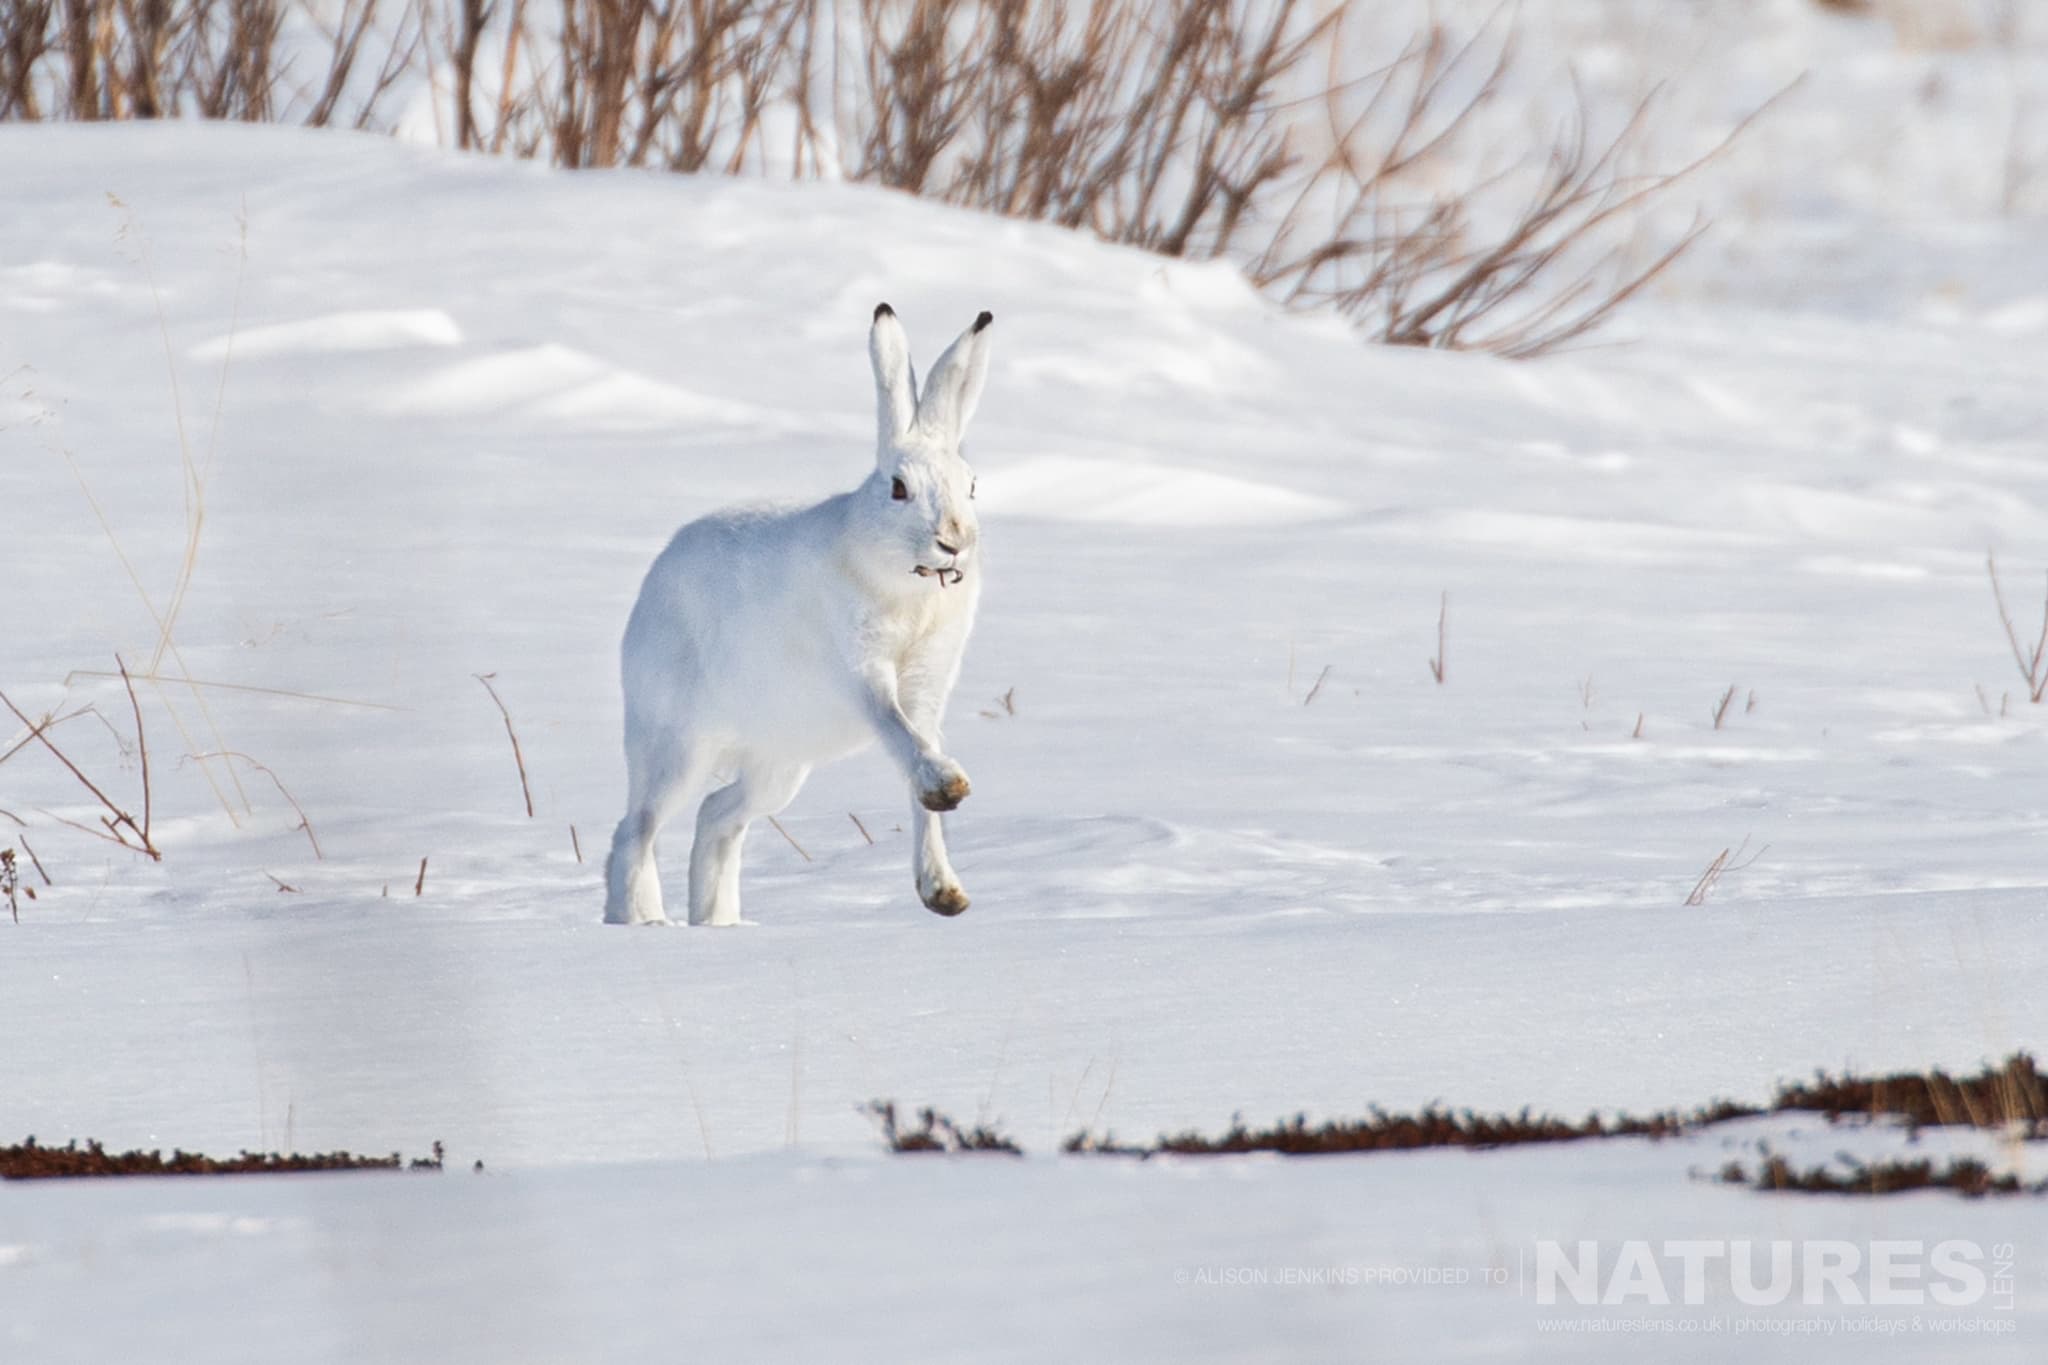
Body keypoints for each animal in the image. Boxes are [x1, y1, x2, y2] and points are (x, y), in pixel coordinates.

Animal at [604, 303, 992, 926]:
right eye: (898, 488)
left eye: (972, 485)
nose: (954, 543)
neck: (909, 590)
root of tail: (653, 582)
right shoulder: (862, 671)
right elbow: (898, 731)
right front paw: (948, 786)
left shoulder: (928, 684)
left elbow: (919, 753)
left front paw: (944, 892)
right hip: (676, 743)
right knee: (636, 827)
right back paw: (642, 922)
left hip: (779, 766)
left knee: (717, 815)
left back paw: (718, 923)